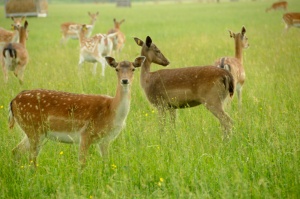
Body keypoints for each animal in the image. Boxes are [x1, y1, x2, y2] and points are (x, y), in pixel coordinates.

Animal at [9, 55, 145, 167]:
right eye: (116, 69)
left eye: (133, 68)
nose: (125, 80)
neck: (112, 111)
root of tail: (13, 101)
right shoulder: (86, 133)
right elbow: (82, 163)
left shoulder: (105, 140)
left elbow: (106, 162)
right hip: (33, 128)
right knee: (31, 158)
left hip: (35, 132)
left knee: (16, 151)